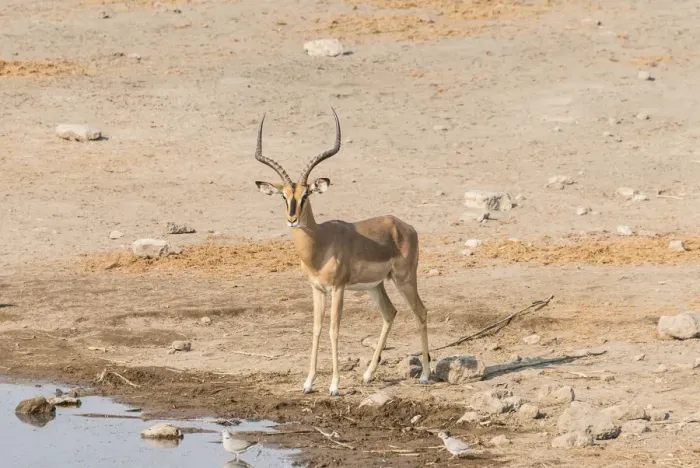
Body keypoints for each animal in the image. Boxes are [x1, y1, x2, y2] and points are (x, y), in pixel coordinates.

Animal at [253, 108, 431, 396]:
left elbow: (334, 330)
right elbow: (316, 329)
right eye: (284, 196)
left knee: (421, 312)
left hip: (404, 279)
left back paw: (425, 375)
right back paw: (368, 375)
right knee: (390, 313)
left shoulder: (338, 288)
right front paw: (308, 383)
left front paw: (334, 386)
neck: (320, 244)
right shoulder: (317, 289)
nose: (292, 219)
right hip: (376, 286)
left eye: (306, 195)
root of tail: (404, 225)